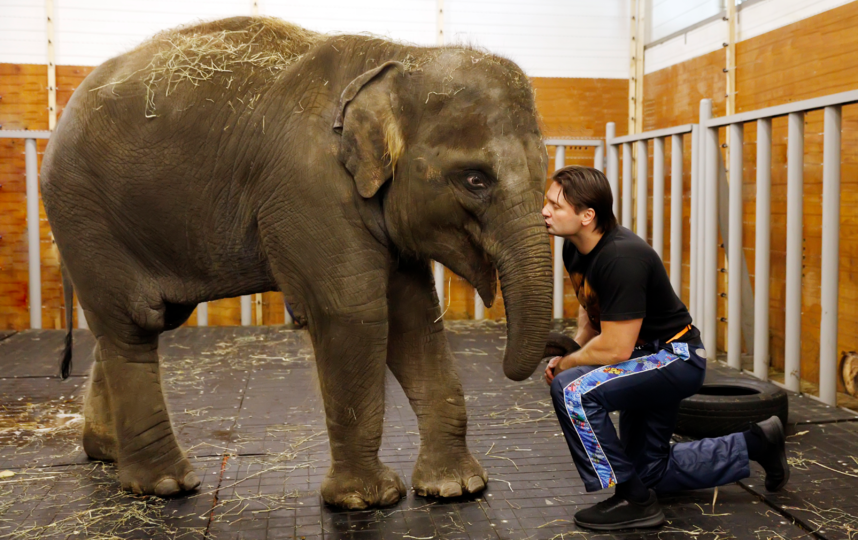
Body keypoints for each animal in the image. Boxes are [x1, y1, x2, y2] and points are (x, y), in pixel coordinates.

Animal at [41, 14, 548, 508]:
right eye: (475, 179)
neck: (401, 59)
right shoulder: (309, 186)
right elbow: (353, 313)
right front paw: (367, 499)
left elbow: (415, 317)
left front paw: (455, 488)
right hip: (83, 213)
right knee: (133, 326)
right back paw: (165, 485)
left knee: (135, 326)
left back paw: (106, 453)